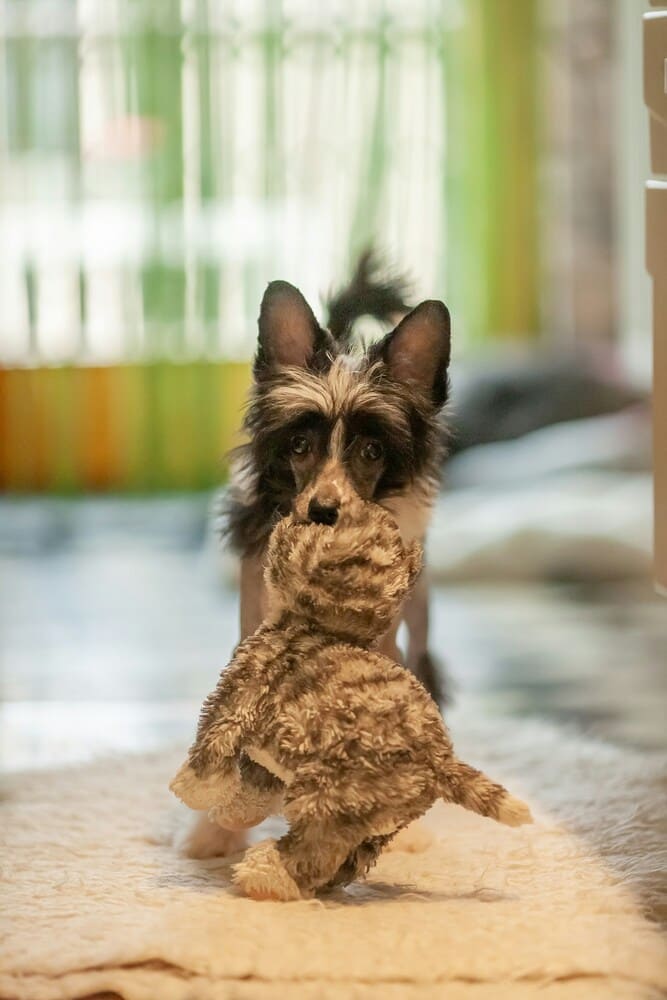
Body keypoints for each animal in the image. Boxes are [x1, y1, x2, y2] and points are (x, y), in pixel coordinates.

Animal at [176, 252, 454, 860]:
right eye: (300, 446)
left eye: (371, 451)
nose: (324, 510)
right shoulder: (253, 633)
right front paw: (216, 832)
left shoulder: (383, 649)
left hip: (421, 617)